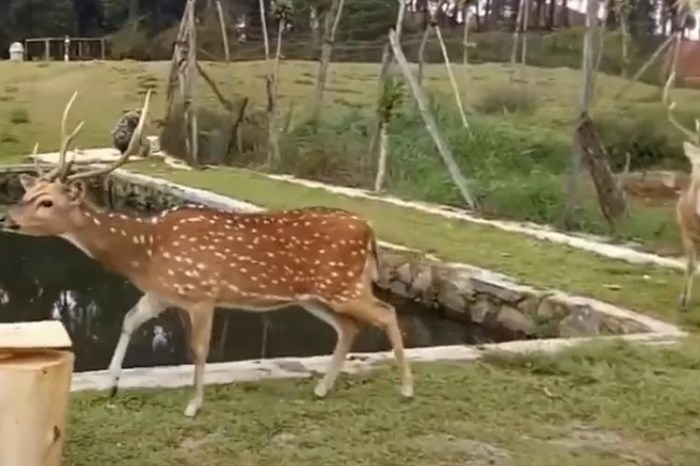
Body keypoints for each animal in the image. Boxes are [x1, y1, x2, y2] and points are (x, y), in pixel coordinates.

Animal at [2, 89, 412, 416]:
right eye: (27, 192)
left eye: (47, 201)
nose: (9, 218)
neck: (145, 252)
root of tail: (369, 231)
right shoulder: (161, 293)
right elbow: (129, 320)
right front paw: (111, 385)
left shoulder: (201, 294)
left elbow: (199, 349)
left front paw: (193, 405)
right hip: (315, 294)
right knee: (349, 326)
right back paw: (322, 388)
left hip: (343, 284)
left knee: (386, 312)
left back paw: (406, 389)